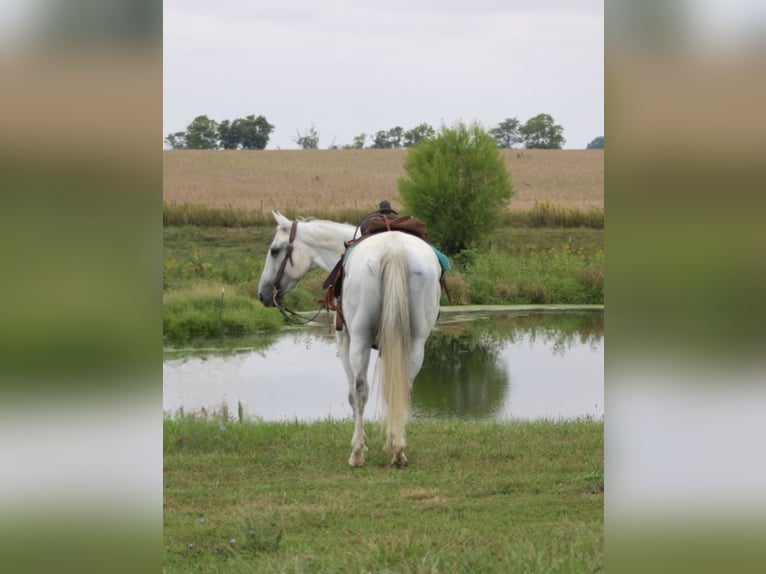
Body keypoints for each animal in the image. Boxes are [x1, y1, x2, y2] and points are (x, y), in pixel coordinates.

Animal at [257, 211, 442, 467]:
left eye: (275, 251)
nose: (262, 294)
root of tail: (394, 249)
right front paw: (389, 440)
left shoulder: (344, 342)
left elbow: (352, 395)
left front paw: (361, 443)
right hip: (415, 343)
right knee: (403, 388)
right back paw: (398, 452)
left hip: (360, 340)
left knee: (360, 389)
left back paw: (357, 454)